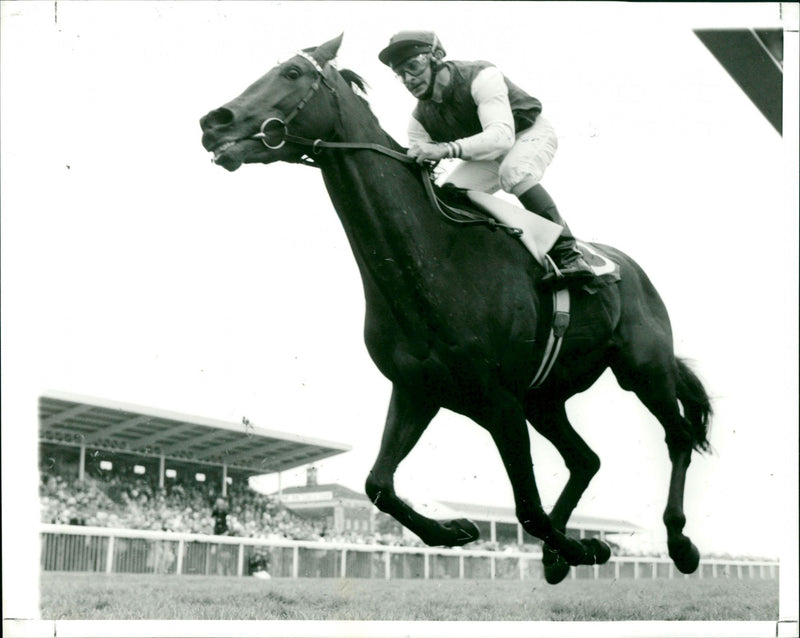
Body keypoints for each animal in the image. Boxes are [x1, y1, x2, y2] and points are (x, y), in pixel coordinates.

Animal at [200, 35, 712, 584]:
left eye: (293, 73)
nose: (214, 122)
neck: (432, 259)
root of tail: (629, 267)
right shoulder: (418, 390)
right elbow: (378, 484)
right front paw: (459, 531)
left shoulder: (500, 400)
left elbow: (527, 508)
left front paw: (584, 546)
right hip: (546, 399)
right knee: (586, 460)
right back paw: (559, 554)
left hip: (643, 368)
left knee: (678, 436)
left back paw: (679, 543)